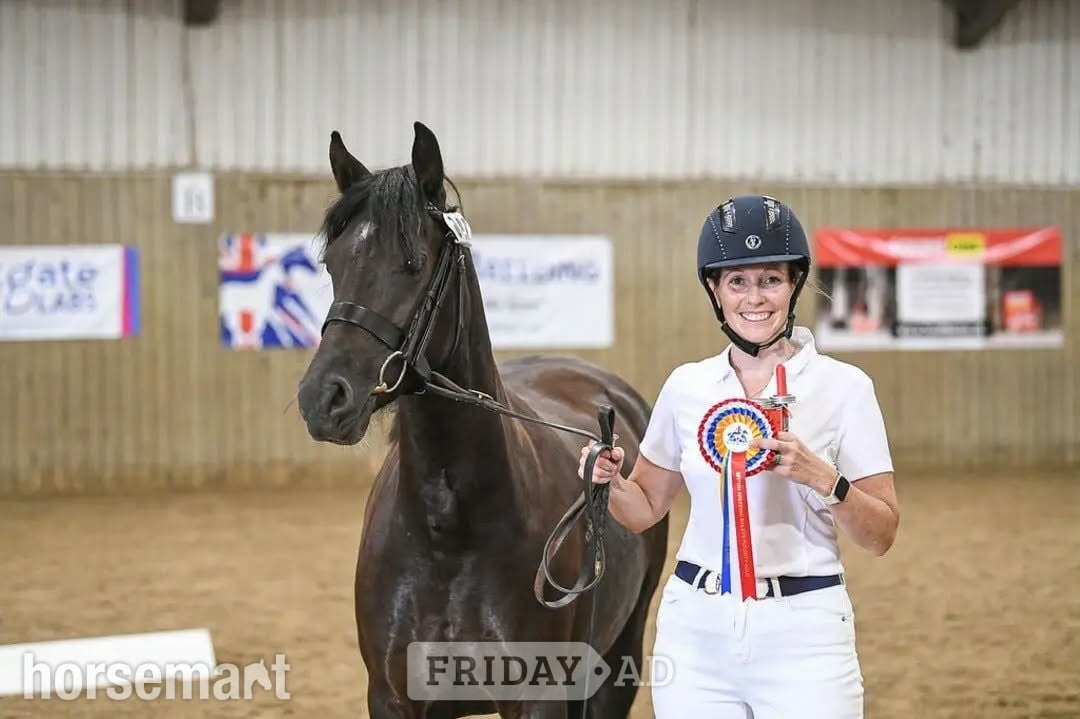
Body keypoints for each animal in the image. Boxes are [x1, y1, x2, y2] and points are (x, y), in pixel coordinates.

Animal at [297, 121, 669, 719]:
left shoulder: (539, 697)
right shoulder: (392, 697)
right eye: (332, 263)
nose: (324, 398)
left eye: (413, 263)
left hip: (617, 660)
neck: (446, 530)